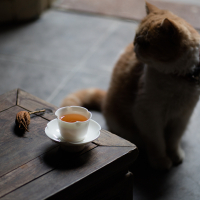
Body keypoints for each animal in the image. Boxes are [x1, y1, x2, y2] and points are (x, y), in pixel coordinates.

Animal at [60, 2, 200, 170]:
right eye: (135, 38)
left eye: (145, 43)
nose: (134, 47)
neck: (177, 79)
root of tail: (106, 99)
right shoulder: (147, 115)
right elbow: (157, 142)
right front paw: (161, 161)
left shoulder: (182, 116)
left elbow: (173, 140)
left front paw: (175, 155)